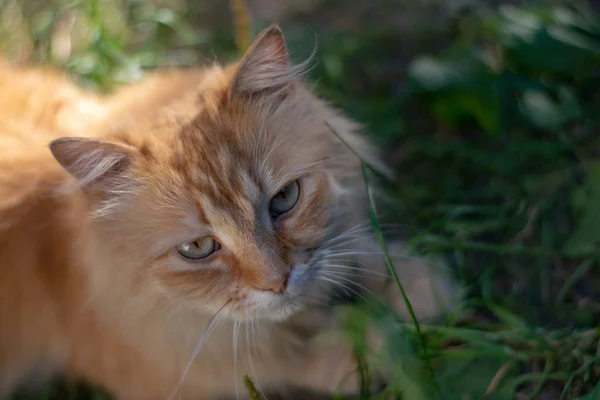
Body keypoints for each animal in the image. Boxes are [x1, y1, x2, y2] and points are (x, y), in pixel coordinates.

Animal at [0, 25, 454, 400]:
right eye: (199, 248)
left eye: (284, 199)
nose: (278, 282)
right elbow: (283, 358)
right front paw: (376, 341)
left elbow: (352, 250)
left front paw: (411, 282)